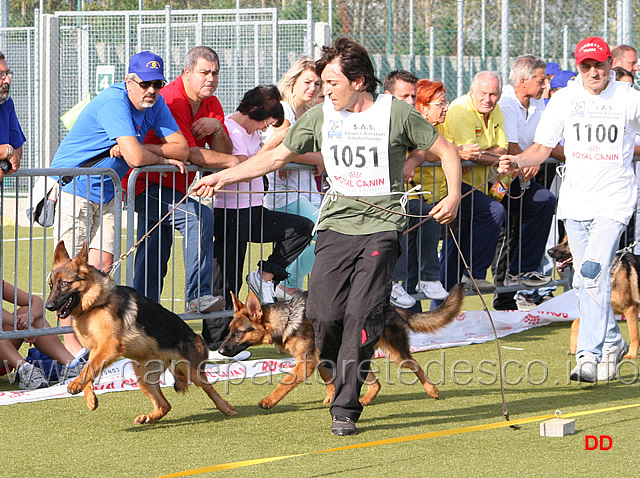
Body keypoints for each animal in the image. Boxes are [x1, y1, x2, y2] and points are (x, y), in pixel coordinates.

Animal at [45, 241, 236, 424]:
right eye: (51, 285)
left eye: (64, 284)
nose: (48, 306)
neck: (95, 303)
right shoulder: (97, 350)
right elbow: (89, 369)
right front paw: (89, 397)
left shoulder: (109, 346)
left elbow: (87, 369)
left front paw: (75, 385)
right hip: (143, 377)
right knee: (165, 405)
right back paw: (149, 417)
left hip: (192, 371)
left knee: (210, 389)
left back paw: (227, 408)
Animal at [220, 284, 464, 410]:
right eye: (229, 329)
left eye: (238, 332)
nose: (221, 351)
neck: (287, 319)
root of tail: (387, 306)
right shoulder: (320, 359)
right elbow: (329, 380)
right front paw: (332, 398)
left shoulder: (306, 362)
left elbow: (284, 383)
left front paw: (269, 401)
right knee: (375, 382)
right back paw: (364, 399)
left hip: (397, 355)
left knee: (416, 366)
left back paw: (432, 390)